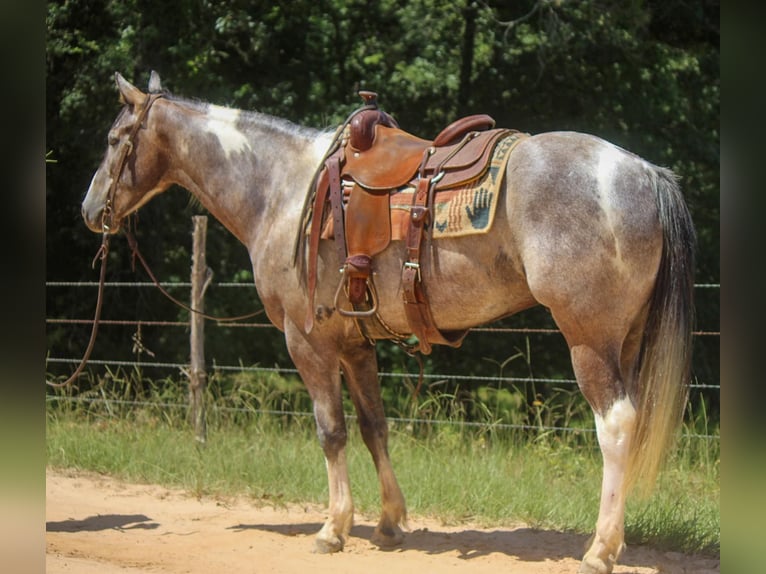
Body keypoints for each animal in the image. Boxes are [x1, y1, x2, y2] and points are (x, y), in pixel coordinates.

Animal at [82, 72, 696, 574]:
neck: (284, 188)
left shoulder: (309, 342)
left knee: (615, 426)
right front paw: (390, 521)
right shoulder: (357, 345)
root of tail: (645, 172)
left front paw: (333, 528)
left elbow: (331, 431)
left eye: (113, 140)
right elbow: (374, 426)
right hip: (625, 341)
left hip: (588, 340)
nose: (90, 211)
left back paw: (599, 550)